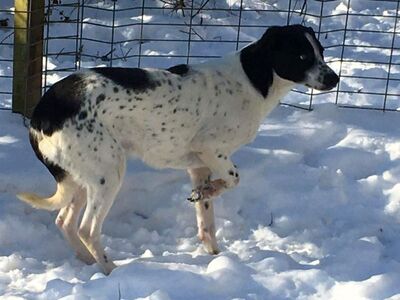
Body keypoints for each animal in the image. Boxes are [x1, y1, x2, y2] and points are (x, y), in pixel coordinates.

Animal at [17, 25, 340, 274]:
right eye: (302, 55)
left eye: (321, 51)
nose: (334, 79)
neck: (252, 79)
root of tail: (42, 112)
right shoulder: (211, 150)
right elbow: (234, 179)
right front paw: (209, 191)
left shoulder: (199, 166)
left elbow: (207, 219)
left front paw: (214, 251)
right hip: (108, 173)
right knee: (86, 229)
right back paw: (111, 270)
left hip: (83, 179)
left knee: (65, 222)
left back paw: (87, 261)